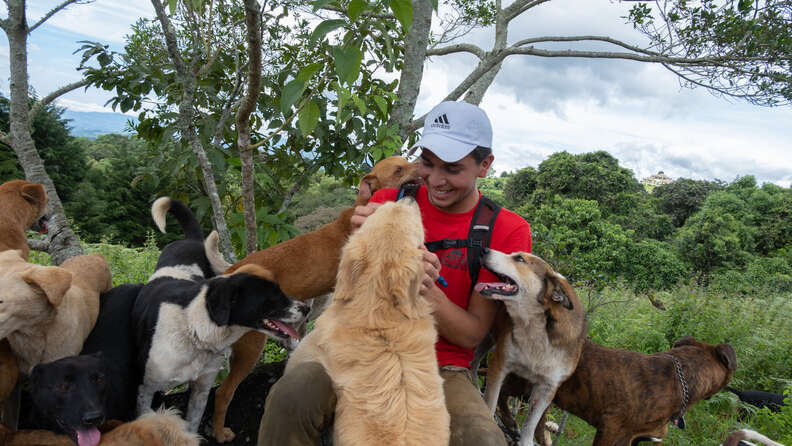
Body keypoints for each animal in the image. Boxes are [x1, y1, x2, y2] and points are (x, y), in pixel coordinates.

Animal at [131, 198, 308, 432]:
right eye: (271, 295)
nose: (307, 309)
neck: (194, 328)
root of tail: (190, 240)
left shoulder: (201, 389)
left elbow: (192, 425)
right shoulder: (147, 390)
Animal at [209, 157, 420, 442]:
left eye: (406, 161)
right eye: (399, 169)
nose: (422, 163)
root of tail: (230, 272)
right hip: (250, 346)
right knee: (223, 392)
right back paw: (220, 433)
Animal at [476, 251, 588, 446]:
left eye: (520, 259)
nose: (484, 250)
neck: (534, 329)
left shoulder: (548, 387)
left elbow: (531, 422)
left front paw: (525, 441)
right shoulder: (499, 364)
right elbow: (491, 401)